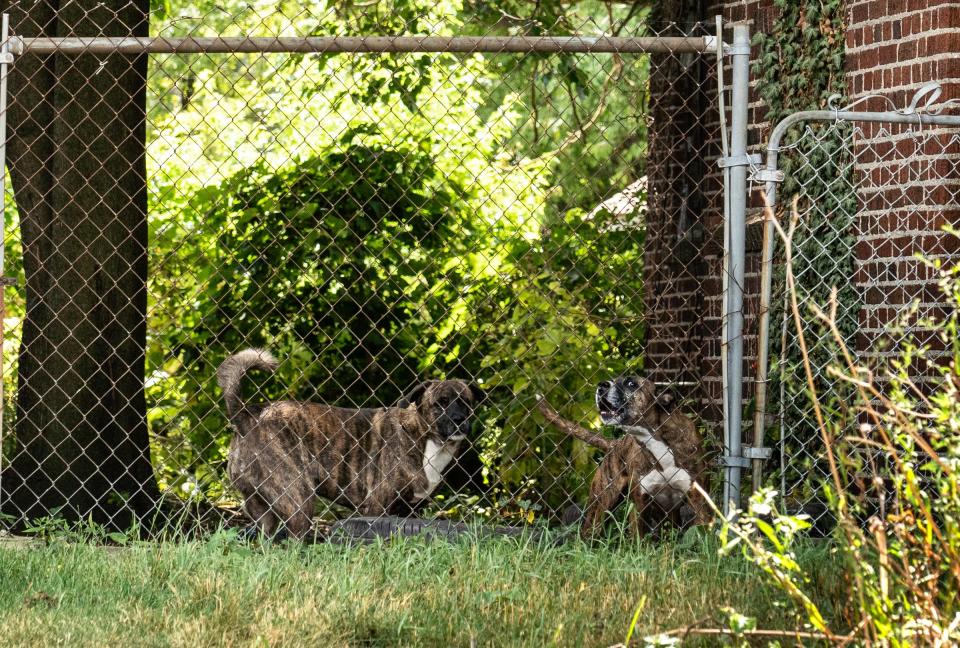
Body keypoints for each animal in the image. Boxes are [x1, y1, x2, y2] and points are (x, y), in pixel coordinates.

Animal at [220, 346, 484, 540]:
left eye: (466, 402)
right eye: (440, 404)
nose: (459, 420)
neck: (424, 438)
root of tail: (248, 416)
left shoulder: (410, 511)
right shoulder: (377, 507)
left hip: (262, 510)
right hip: (298, 498)